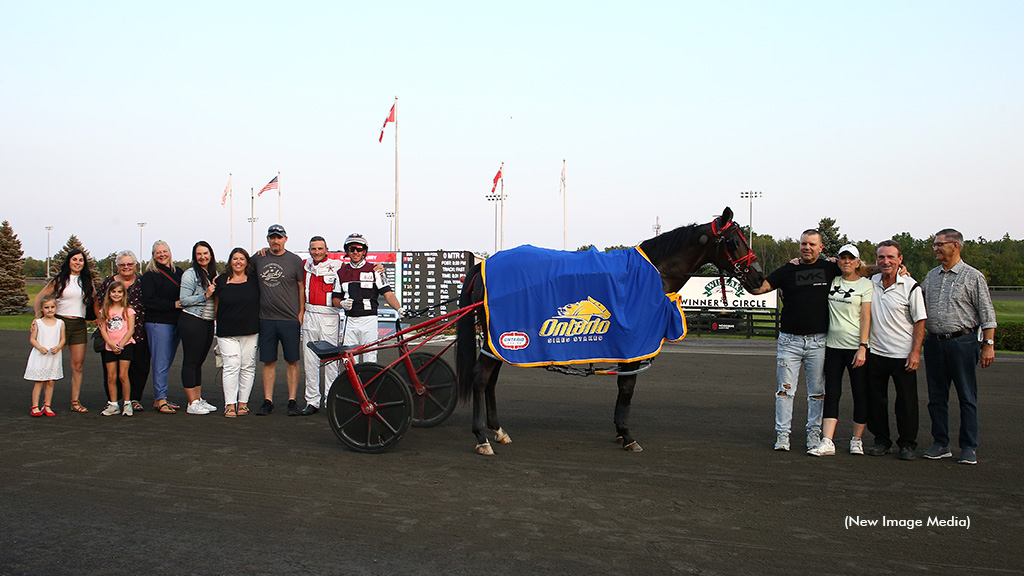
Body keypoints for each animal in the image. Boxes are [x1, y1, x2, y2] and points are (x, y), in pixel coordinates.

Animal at [456, 204, 770, 453]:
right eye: (734, 241)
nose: (759, 278)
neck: (655, 273)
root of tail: (483, 265)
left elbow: (624, 388)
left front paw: (621, 433)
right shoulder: (633, 343)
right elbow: (627, 388)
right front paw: (627, 435)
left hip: (499, 341)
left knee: (490, 381)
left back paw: (498, 431)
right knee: (480, 379)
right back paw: (481, 437)